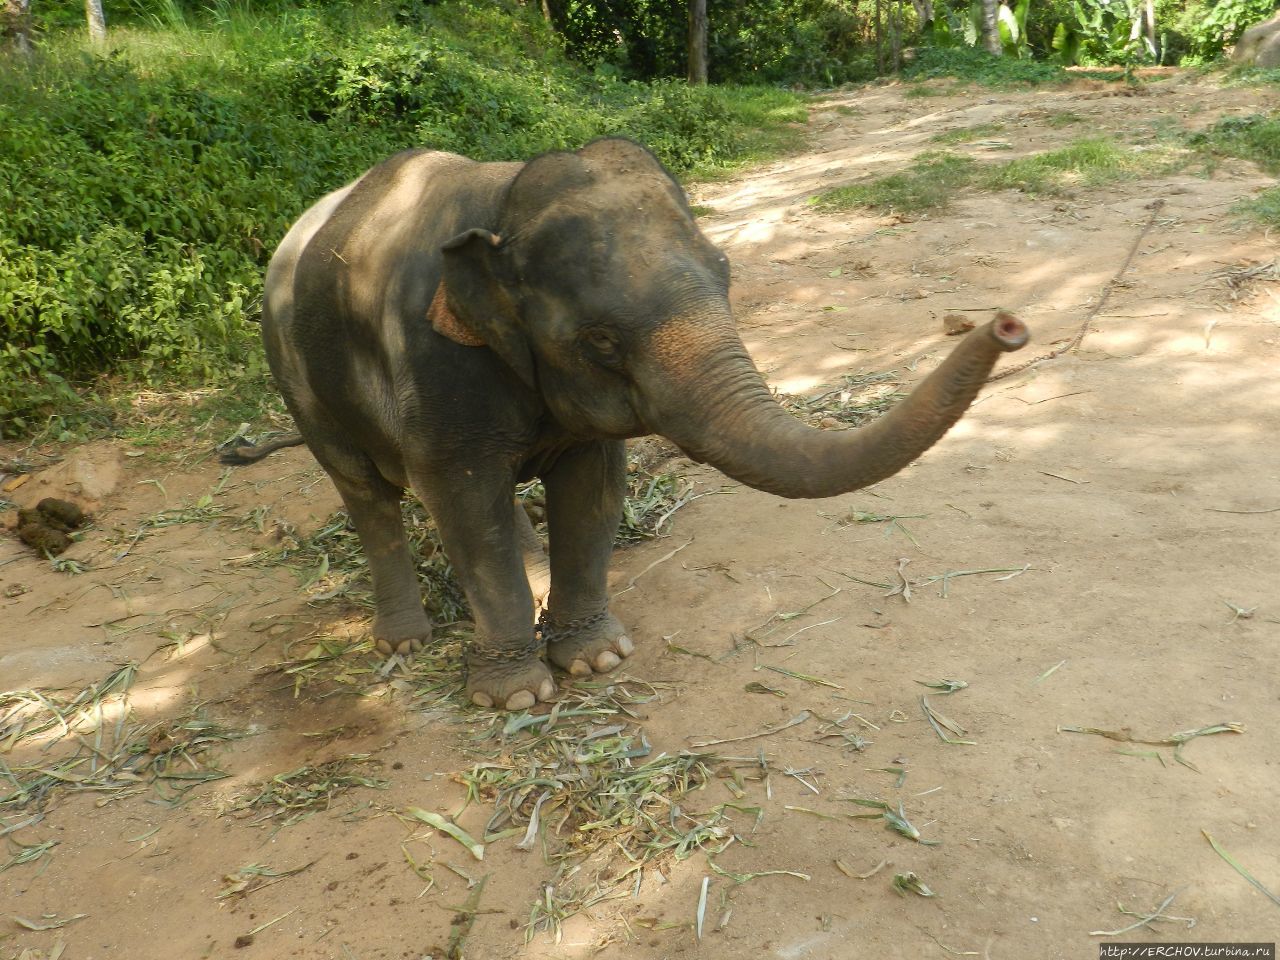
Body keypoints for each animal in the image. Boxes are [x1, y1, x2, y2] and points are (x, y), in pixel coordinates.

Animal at [235, 138, 1024, 716]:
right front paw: (516, 697)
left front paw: (598, 658)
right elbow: (461, 497)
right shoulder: (433, 365)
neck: (503, 203)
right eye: (602, 342)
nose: (1008, 325)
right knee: (366, 493)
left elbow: (592, 489)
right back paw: (402, 643)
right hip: (295, 376)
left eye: (726, 275)